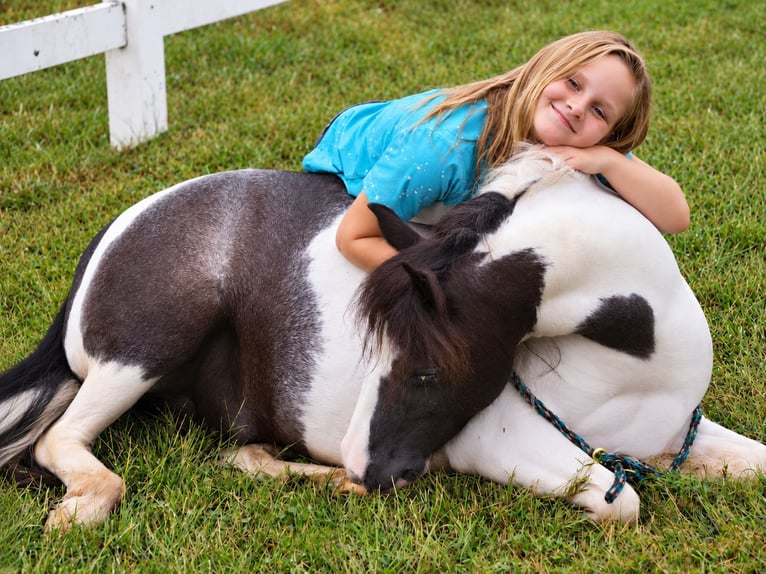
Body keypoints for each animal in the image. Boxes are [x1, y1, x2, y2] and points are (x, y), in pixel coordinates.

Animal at [0, 148, 763, 531]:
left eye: (425, 372)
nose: (370, 469)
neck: (636, 367)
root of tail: (116, 229)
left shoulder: (677, 433)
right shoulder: (497, 441)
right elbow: (623, 500)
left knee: (239, 453)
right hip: (141, 355)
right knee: (58, 442)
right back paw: (82, 510)